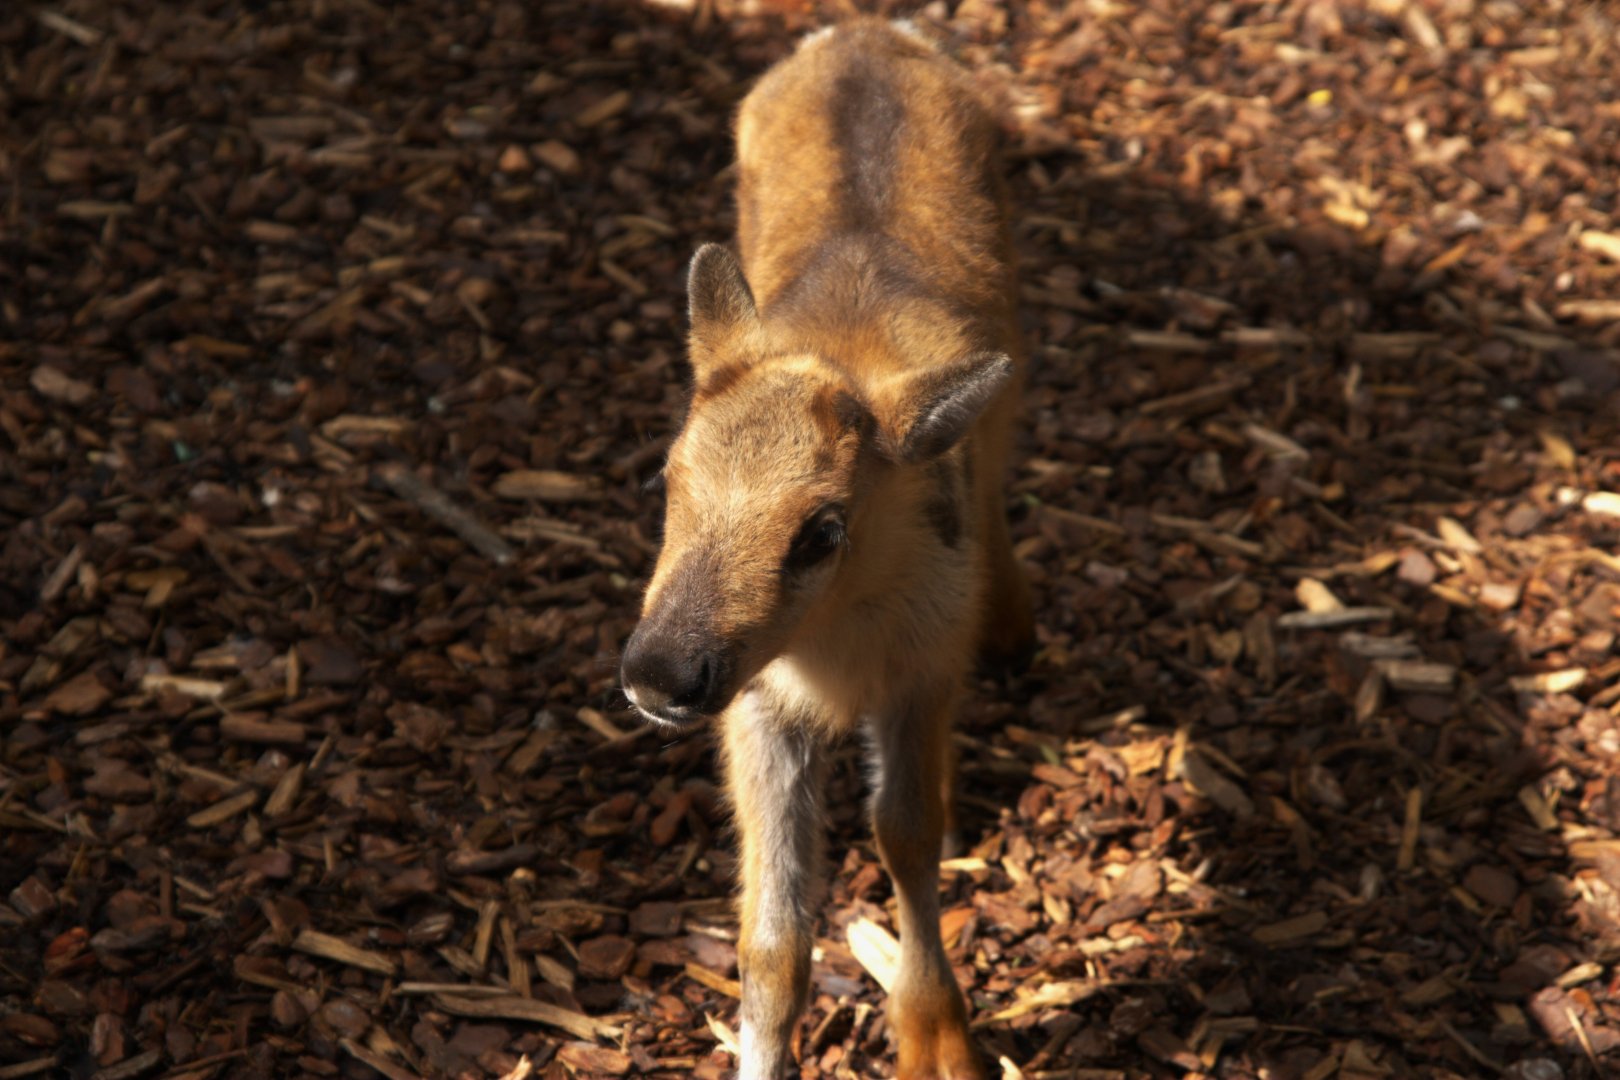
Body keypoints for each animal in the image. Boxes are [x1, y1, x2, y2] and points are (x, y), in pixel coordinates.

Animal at [620, 17, 1034, 1080]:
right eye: (668, 476)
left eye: (822, 529)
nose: (659, 675)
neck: (835, 640)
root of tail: (864, 31)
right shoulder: (757, 704)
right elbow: (772, 937)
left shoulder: (920, 672)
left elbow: (905, 837)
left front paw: (942, 1043)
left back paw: (1013, 624)